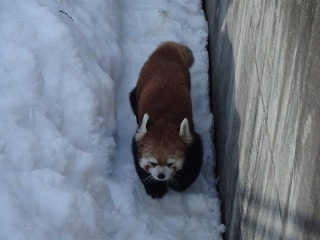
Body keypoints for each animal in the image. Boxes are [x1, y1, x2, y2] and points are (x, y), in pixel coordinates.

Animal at [129, 41, 201, 199]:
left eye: (170, 163)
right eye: (152, 163)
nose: (161, 176)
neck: (164, 120)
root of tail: (167, 47)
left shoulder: (192, 138)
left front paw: (179, 183)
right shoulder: (138, 139)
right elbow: (139, 163)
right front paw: (155, 188)